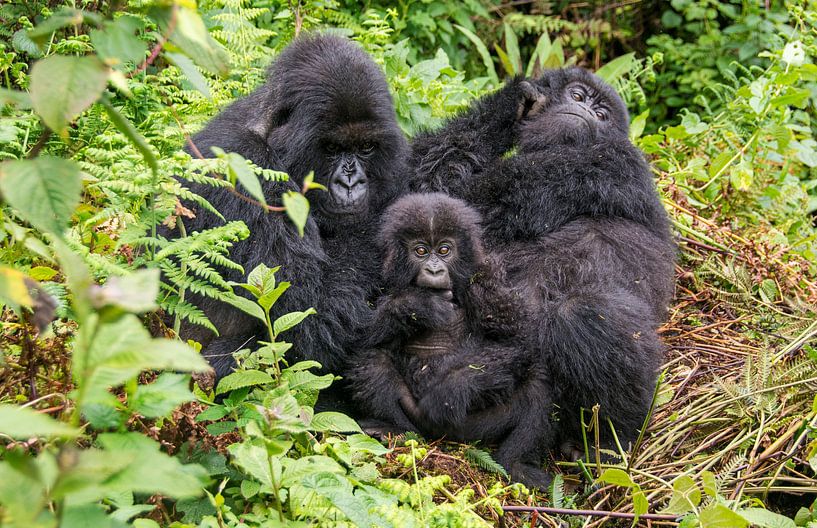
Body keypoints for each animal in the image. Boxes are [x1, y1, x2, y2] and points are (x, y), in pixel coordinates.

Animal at [348, 193, 552, 486]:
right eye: (421, 251)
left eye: (444, 250)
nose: (434, 270)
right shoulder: (378, 273)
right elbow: (357, 333)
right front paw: (418, 304)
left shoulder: (486, 278)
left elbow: (516, 340)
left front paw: (448, 393)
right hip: (420, 423)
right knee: (373, 360)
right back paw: (393, 427)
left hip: (479, 426)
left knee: (536, 381)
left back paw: (515, 463)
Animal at [412, 68, 672, 458]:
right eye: (577, 95)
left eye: (602, 115)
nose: (586, 111)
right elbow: (420, 188)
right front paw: (512, 103)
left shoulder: (611, 159)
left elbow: (464, 203)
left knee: (581, 313)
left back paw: (608, 441)